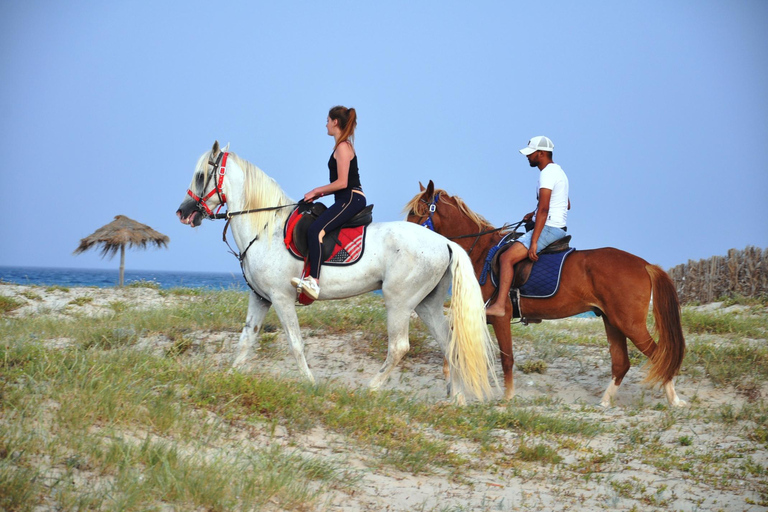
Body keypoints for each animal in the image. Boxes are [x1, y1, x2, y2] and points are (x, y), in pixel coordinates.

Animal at [176, 142, 496, 402]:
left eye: (201, 175)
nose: (183, 212)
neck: (265, 229)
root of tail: (445, 242)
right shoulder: (260, 299)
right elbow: (246, 341)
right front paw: (227, 378)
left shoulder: (280, 298)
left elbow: (295, 343)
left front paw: (310, 384)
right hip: (426, 303)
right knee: (449, 343)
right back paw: (457, 398)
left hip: (400, 301)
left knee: (399, 347)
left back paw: (370, 389)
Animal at [404, 181, 688, 408]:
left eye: (416, 213)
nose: (405, 238)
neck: (481, 254)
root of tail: (644, 264)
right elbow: (451, 346)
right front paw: (453, 388)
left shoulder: (499, 318)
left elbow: (507, 359)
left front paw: (507, 398)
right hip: (613, 321)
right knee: (621, 363)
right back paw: (605, 402)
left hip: (629, 323)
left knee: (659, 356)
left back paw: (674, 400)